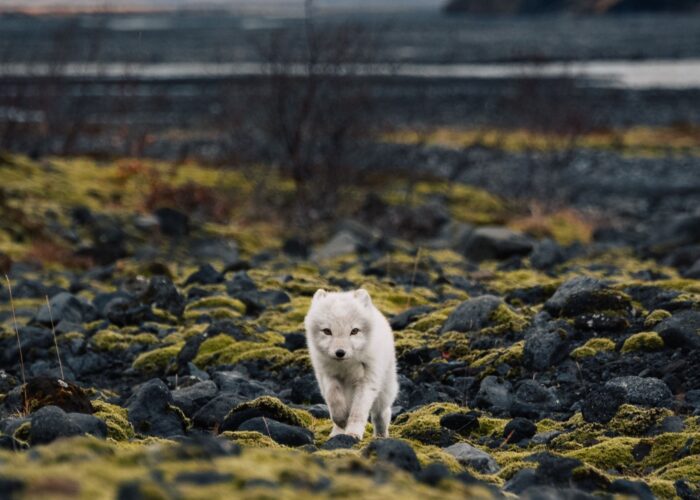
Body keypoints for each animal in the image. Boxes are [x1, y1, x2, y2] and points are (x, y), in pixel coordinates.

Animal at [304, 290, 396, 438]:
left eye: (354, 331)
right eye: (327, 331)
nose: (340, 352)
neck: (346, 367)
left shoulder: (367, 380)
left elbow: (358, 410)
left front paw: (353, 433)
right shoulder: (327, 375)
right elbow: (334, 397)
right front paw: (341, 420)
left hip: (384, 392)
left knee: (381, 413)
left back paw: (381, 435)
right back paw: (336, 433)